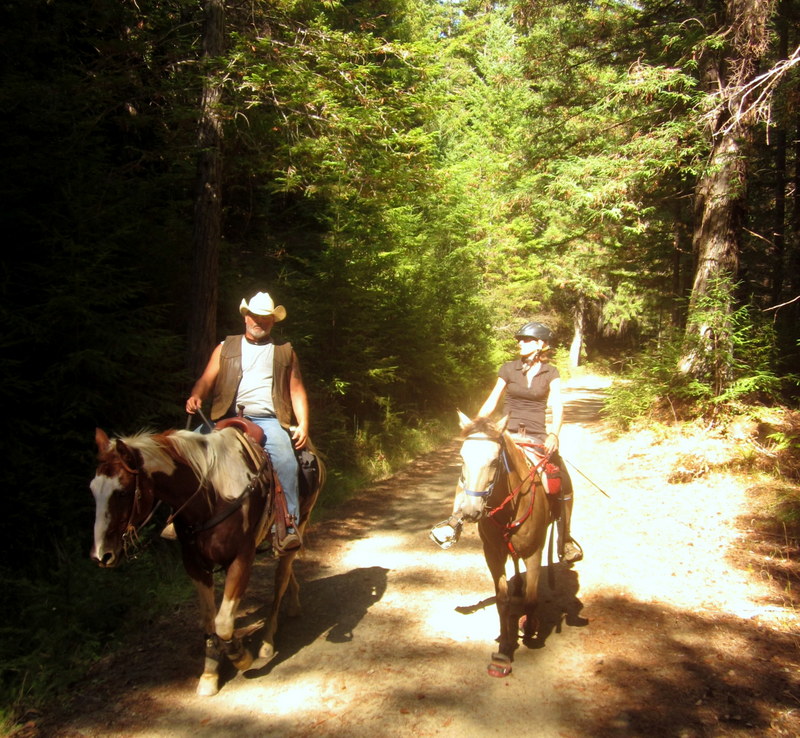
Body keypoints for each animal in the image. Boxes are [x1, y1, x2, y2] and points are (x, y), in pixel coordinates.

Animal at [90, 424, 325, 696]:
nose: (101, 554)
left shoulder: (241, 558)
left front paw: (240, 656)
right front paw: (210, 672)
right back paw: (293, 603)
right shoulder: (194, 564)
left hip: (301, 521)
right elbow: (208, 620)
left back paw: (267, 639)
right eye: (92, 490)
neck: (210, 495)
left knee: (281, 577)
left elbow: (223, 622)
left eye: (122, 492)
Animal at [450, 411, 554, 677]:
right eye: (462, 458)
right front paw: (505, 649)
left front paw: (530, 629)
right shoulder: (492, 554)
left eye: (495, 462)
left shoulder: (534, 551)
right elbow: (502, 600)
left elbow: (531, 599)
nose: (470, 511)